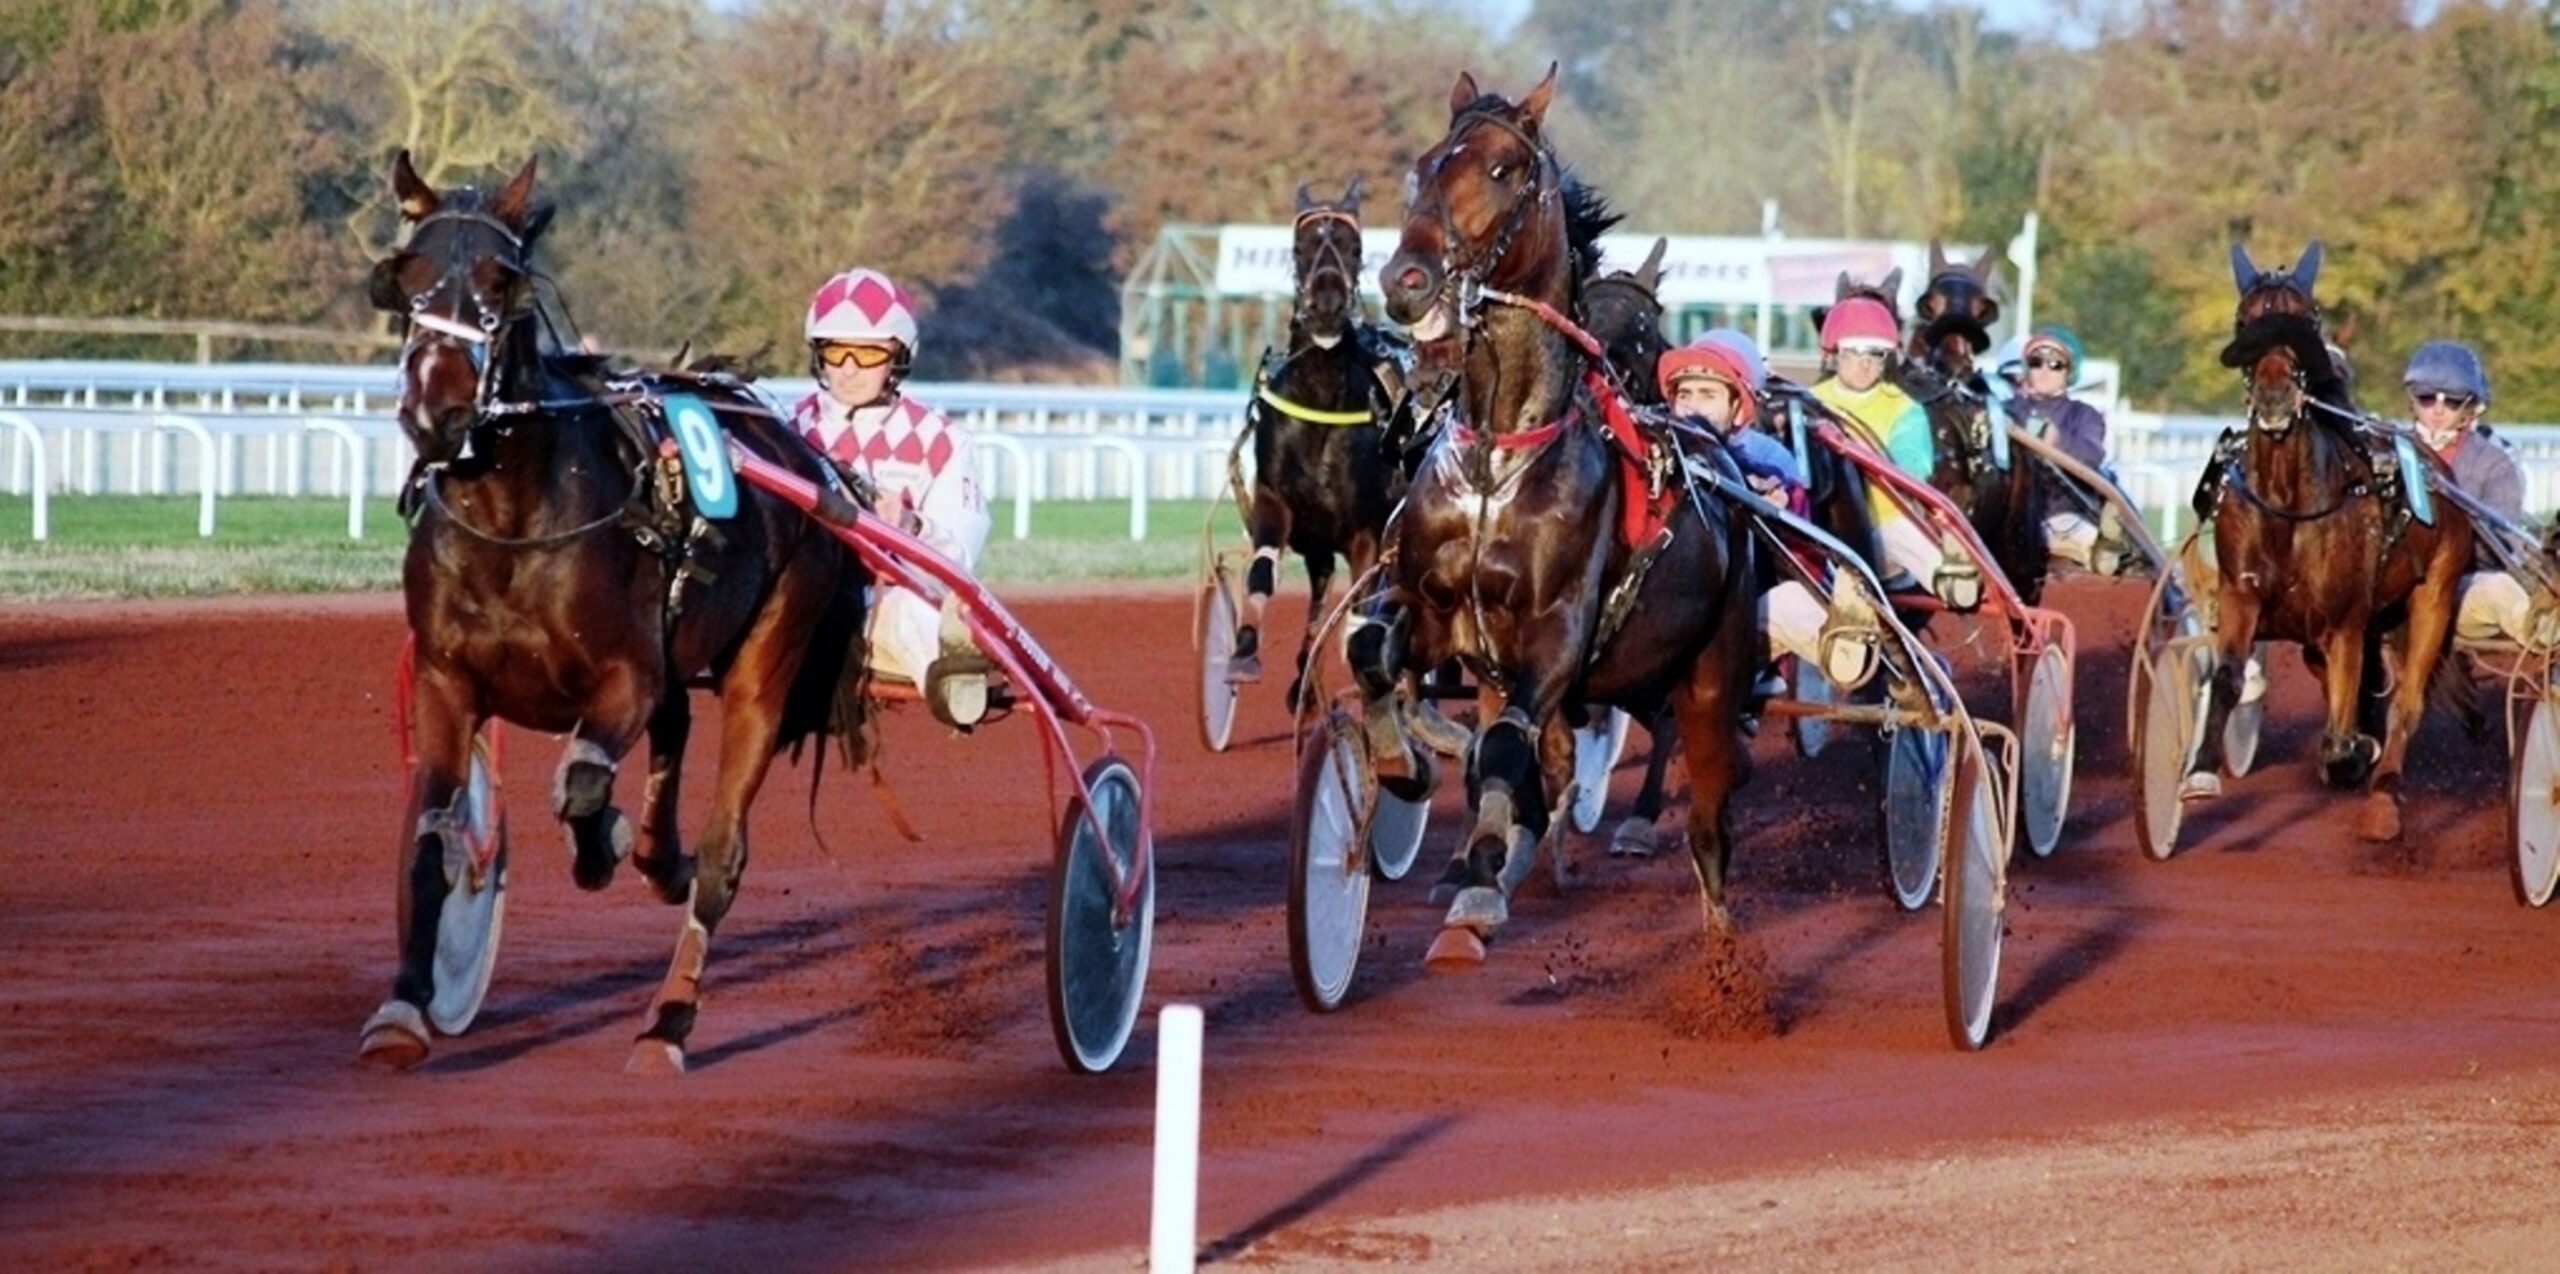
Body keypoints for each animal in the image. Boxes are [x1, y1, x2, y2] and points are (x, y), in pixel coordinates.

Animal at [355, 156, 870, 1074]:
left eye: (502, 282)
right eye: (404, 276)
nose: (434, 411)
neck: (513, 524)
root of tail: (799, 455)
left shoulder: (624, 678)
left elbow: (585, 786)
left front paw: (603, 845)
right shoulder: (447, 683)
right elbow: (434, 834)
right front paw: (407, 1006)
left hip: (767, 662)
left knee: (723, 849)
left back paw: (667, 1020)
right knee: (676, 741)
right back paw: (661, 860)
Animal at [1228, 175, 1413, 711]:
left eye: (1356, 248)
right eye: (1299, 247)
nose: (1328, 308)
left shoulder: (1367, 532)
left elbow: (1358, 609)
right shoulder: (1275, 502)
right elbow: (1262, 572)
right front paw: (1244, 654)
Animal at [1372, 67, 1771, 967]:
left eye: (1500, 170)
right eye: (1424, 164)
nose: (1405, 279)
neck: (1499, 458)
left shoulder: (1559, 634)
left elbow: (1506, 747)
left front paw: (1481, 882)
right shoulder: (1436, 613)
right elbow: (1382, 665)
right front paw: (1410, 763)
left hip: (1709, 674)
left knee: (1706, 817)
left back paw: (1720, 952)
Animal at [2181, 243, 2478, 839]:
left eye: (2308, 321)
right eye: (2245, 321)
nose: (2275, 396)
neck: (2289, 503)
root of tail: (2436, 467)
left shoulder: (2345, 620)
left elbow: (2345, 737)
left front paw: (2356, 751)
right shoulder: (2242, 596)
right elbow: (2226, 677)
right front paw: (2200, 771)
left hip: (2433, 596)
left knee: (2407, 702)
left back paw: (2382, 800)